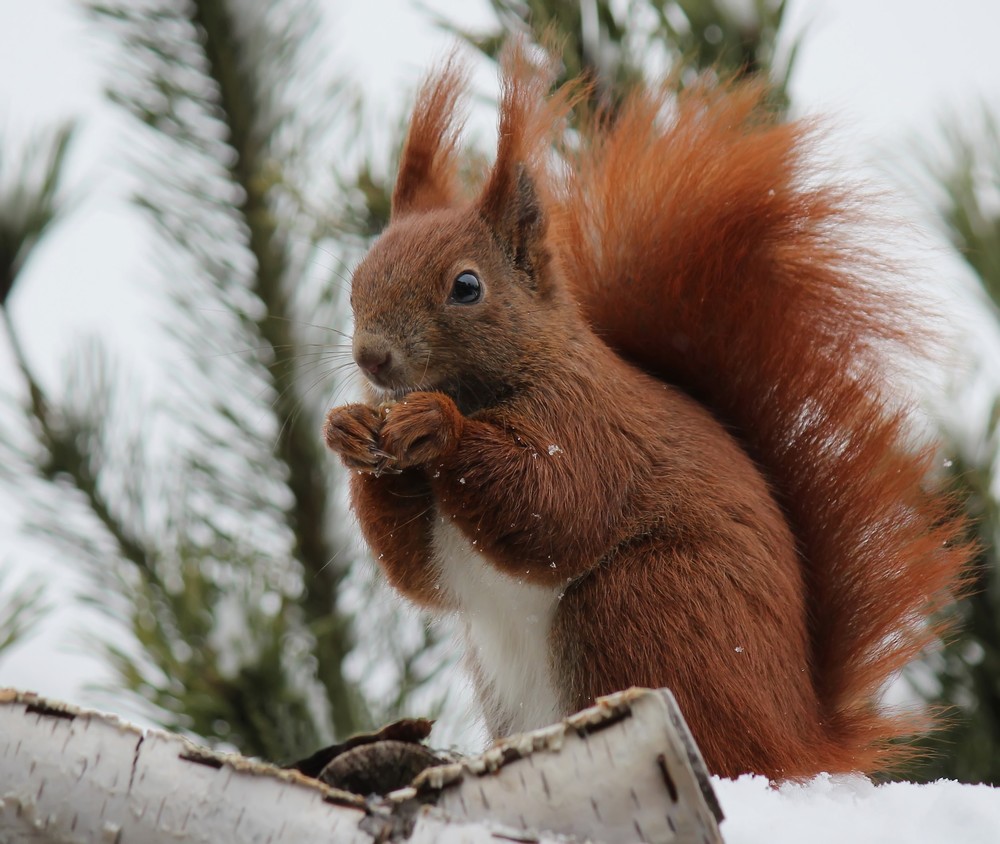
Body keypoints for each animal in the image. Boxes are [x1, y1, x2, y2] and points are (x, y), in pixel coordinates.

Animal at [324, 47, 972, 780]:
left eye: (466, 286)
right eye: (359, 277)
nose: (372, 358)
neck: (492, 385)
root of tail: (802, 740)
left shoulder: (590, 426)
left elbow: (554, 507)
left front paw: (438, 427)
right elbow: (419, 574)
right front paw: (348, 430)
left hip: (641, 604)